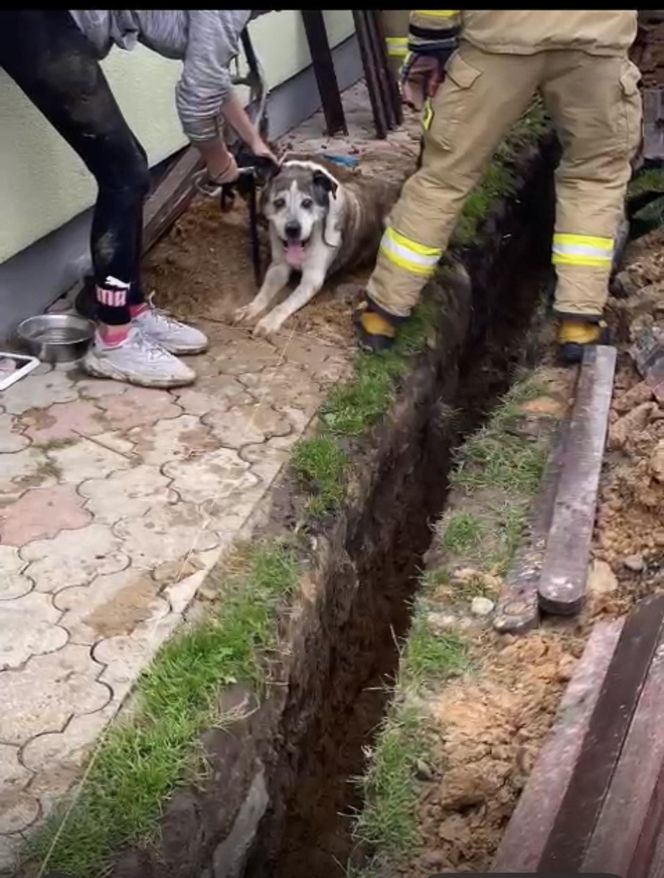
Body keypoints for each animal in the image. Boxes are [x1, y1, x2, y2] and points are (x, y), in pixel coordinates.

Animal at [233, 155, 400, 336]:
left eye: (307, 202)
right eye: (279, 202)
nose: (292, 229)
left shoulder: (312, 279)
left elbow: (283, 305)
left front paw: (268, 322)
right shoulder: (278, 266)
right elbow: (264, 292)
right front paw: (249, 308)